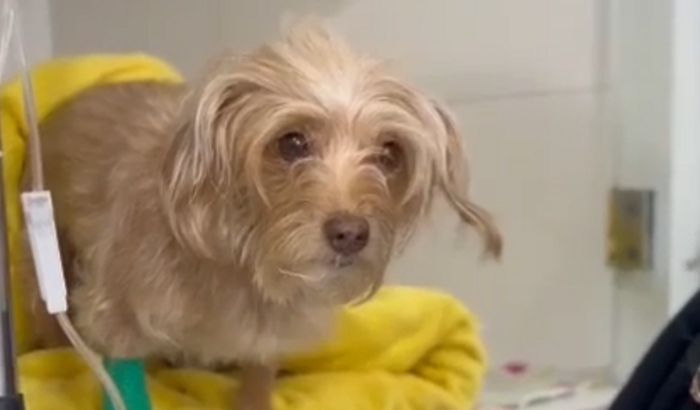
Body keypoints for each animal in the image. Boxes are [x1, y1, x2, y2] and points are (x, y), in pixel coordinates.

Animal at [20, 22, 501, 410]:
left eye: (388, 154)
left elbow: (257, 379)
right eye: (291, 143)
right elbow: (123, 379)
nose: (351, 234)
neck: (243, 259)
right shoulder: (118, 316)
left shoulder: (264, 341)